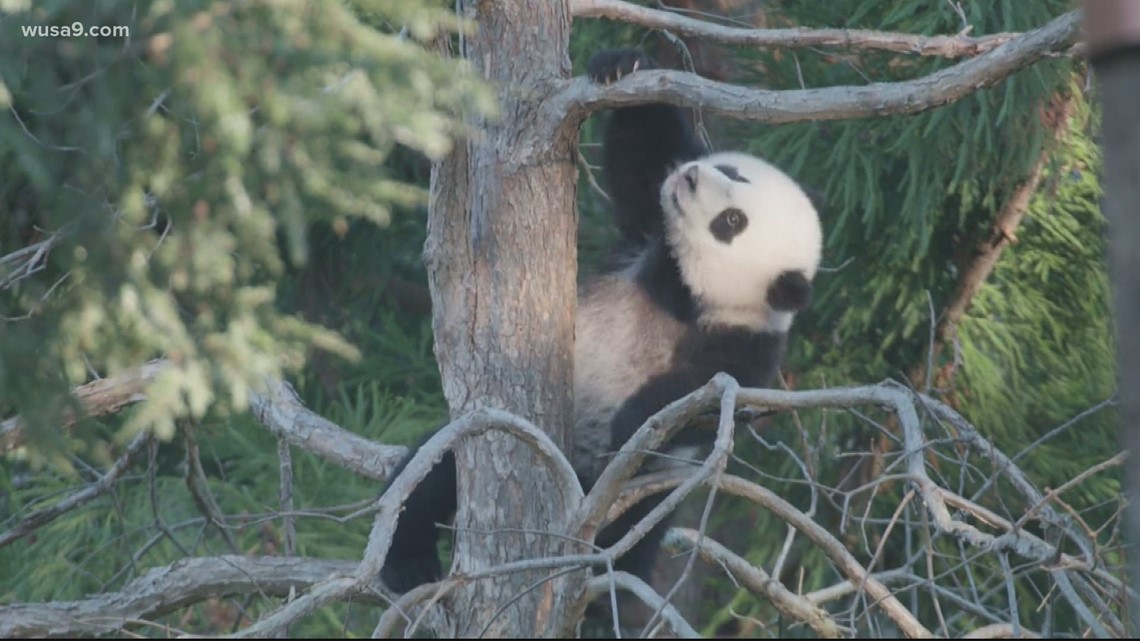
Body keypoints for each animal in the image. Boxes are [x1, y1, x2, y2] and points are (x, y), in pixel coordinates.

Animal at [378, 49, 824, 595]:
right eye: (734, 172)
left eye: (732, 222)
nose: (692, 176)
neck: (689, 295)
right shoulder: (648, 242)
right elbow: (643, 163)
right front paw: (621, 66)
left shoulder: (745, 345)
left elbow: (698, 402)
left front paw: (636, 419)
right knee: (430, 478)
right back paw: (408, 562)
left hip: (640, 493)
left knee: (633, 534)